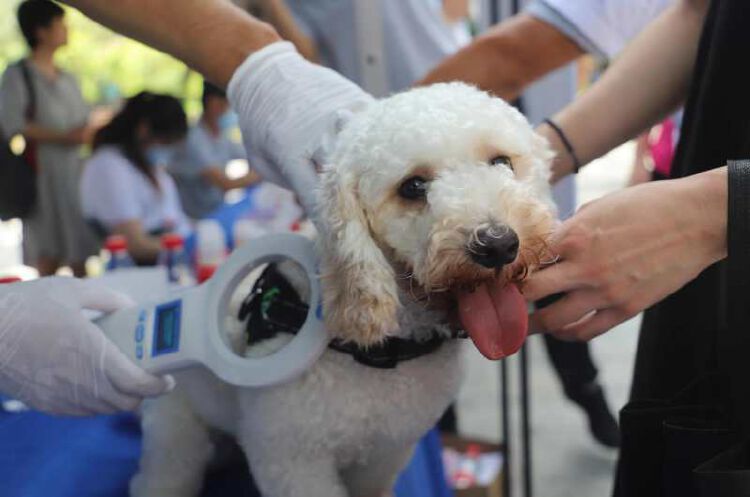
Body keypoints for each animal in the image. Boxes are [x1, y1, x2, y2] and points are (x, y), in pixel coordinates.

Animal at [132, 83, 560, 496]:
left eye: (502, 162)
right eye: (413, 186)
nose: (497, 244)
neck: (385, 348)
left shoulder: (386, 452)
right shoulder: (292, 462)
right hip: (175, 434)